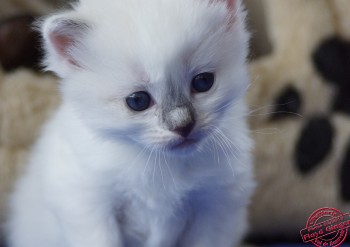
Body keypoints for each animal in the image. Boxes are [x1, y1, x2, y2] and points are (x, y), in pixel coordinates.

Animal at [6, 0, 254, 247]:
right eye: (138, 101)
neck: (163, 164)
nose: (183, 125)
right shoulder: (88, 204)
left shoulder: (217, 207)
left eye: (203, 82)